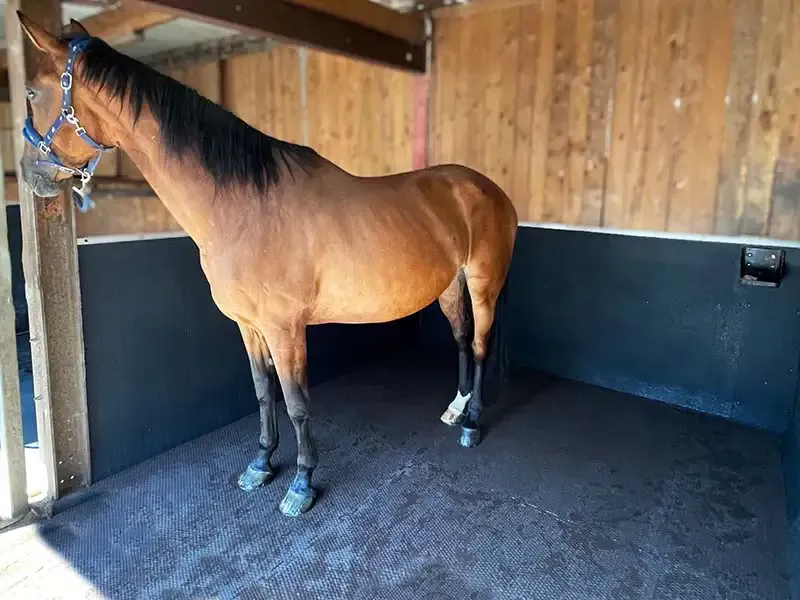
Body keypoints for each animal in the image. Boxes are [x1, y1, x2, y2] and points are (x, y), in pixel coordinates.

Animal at [15, 12, 518, 517]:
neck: (243, 208)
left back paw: (472, 424)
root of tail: (489, 190)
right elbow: (262, 392)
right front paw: (261, 464)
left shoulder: (284, 328)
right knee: (461, 339)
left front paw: (301, 483)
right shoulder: (249, 325)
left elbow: (296, 402)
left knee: (479, 344)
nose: (29, 174)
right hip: (449, 285)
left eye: (32, 93)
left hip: (483, 283)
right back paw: (456, 408)